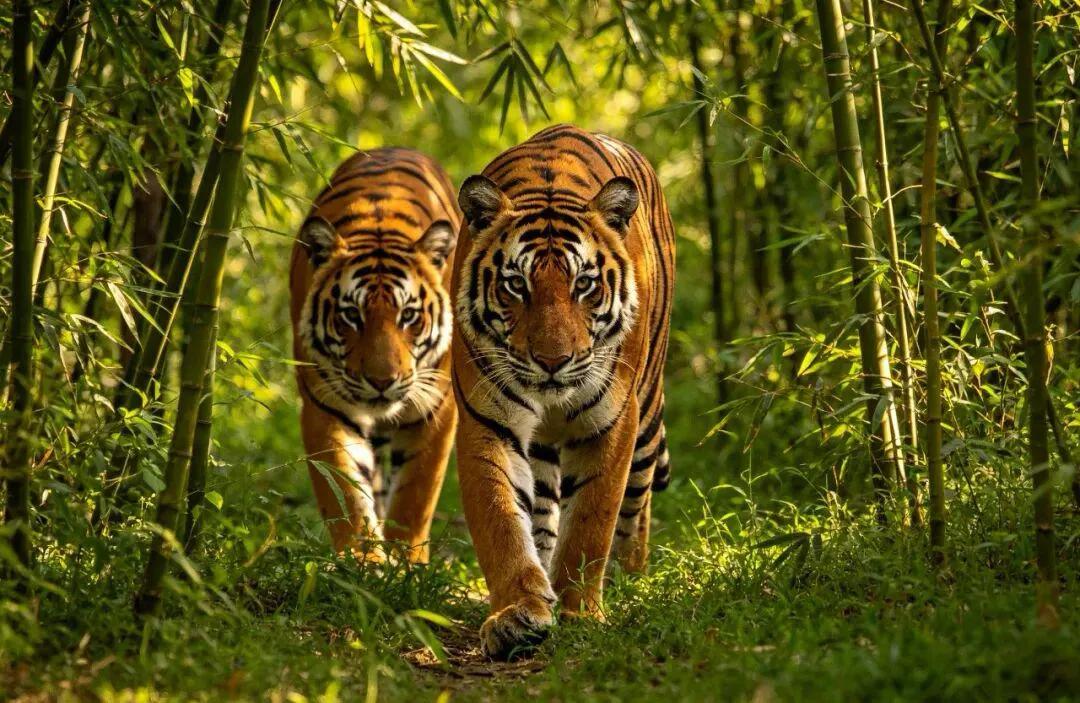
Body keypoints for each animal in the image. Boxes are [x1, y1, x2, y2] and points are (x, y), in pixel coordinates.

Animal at [289, 147, 460, 563]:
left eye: (409, 316)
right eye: (352, 315)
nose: (382, 381)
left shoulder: (437, 406)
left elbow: (416, 495)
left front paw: (406, 562)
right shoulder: (325, 407)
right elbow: (346, 492)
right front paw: (362, 561)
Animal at [451, 124, 675, 658]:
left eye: (585, 285)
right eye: (515, 285)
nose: (553, 362)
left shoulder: (611, 422)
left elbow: (592, 522)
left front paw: (580, 613)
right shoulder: (487, 422)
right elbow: (502, 520)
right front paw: (518, 613)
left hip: (646, 419)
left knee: (636, 504)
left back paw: (630, 575)